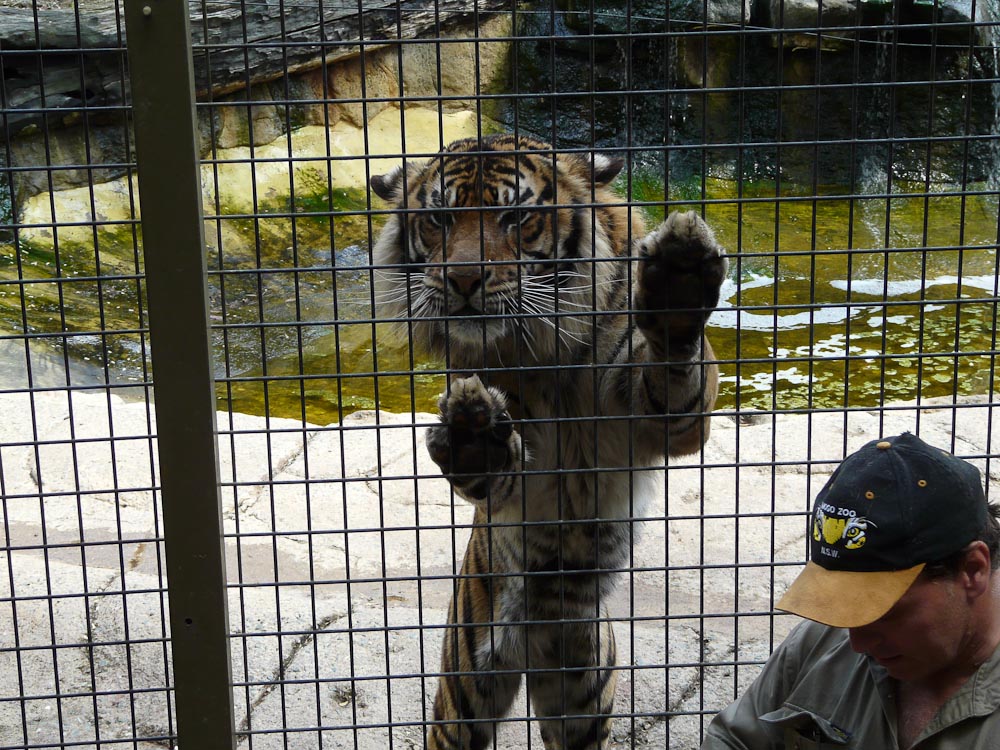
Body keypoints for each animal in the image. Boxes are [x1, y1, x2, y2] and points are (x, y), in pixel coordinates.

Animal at [369, 133, 726, 750]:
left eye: (516, 217)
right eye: (439, 218)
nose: (464, 281)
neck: (545, 347)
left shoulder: (662, 419)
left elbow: (674, 367)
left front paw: (679, 284)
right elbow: (490, 469)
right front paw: (472, 434)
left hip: (585, 685)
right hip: (466, 687)